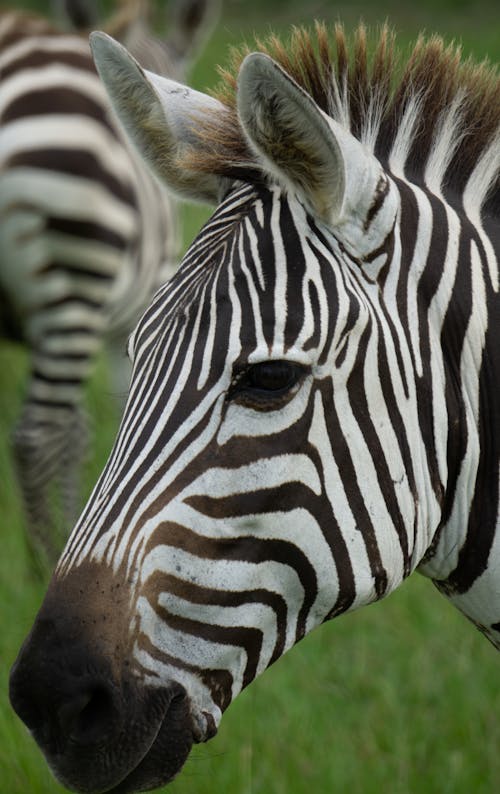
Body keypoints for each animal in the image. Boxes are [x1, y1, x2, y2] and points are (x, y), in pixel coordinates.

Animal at [0, 0, 219, 564]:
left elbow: (77, 432)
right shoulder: (142, 318)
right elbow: (119, 421)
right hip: (75, 281)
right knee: (33, 437)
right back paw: (42, 558)